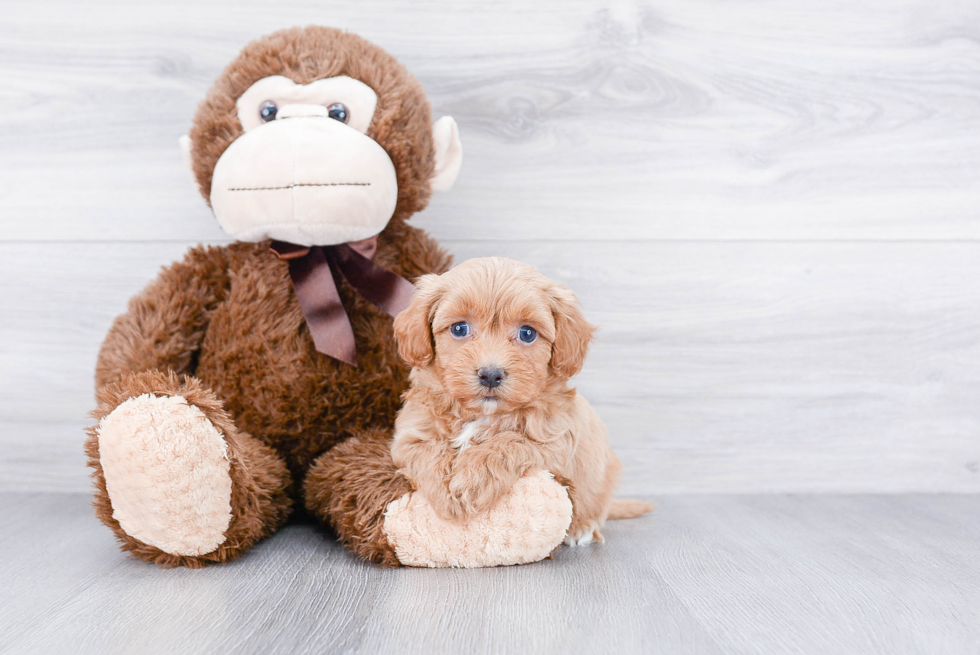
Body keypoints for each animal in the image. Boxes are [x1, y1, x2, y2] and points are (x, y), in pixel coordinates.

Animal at [390, 258, 652, 544]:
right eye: (459, 328)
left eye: (527, 333)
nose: (491, 374)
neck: (483, 413)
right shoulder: (410, 434)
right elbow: (427, 452)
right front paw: (446, 495)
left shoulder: (555, 441)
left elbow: (510, 442)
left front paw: (470, 481)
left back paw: (581, 527)